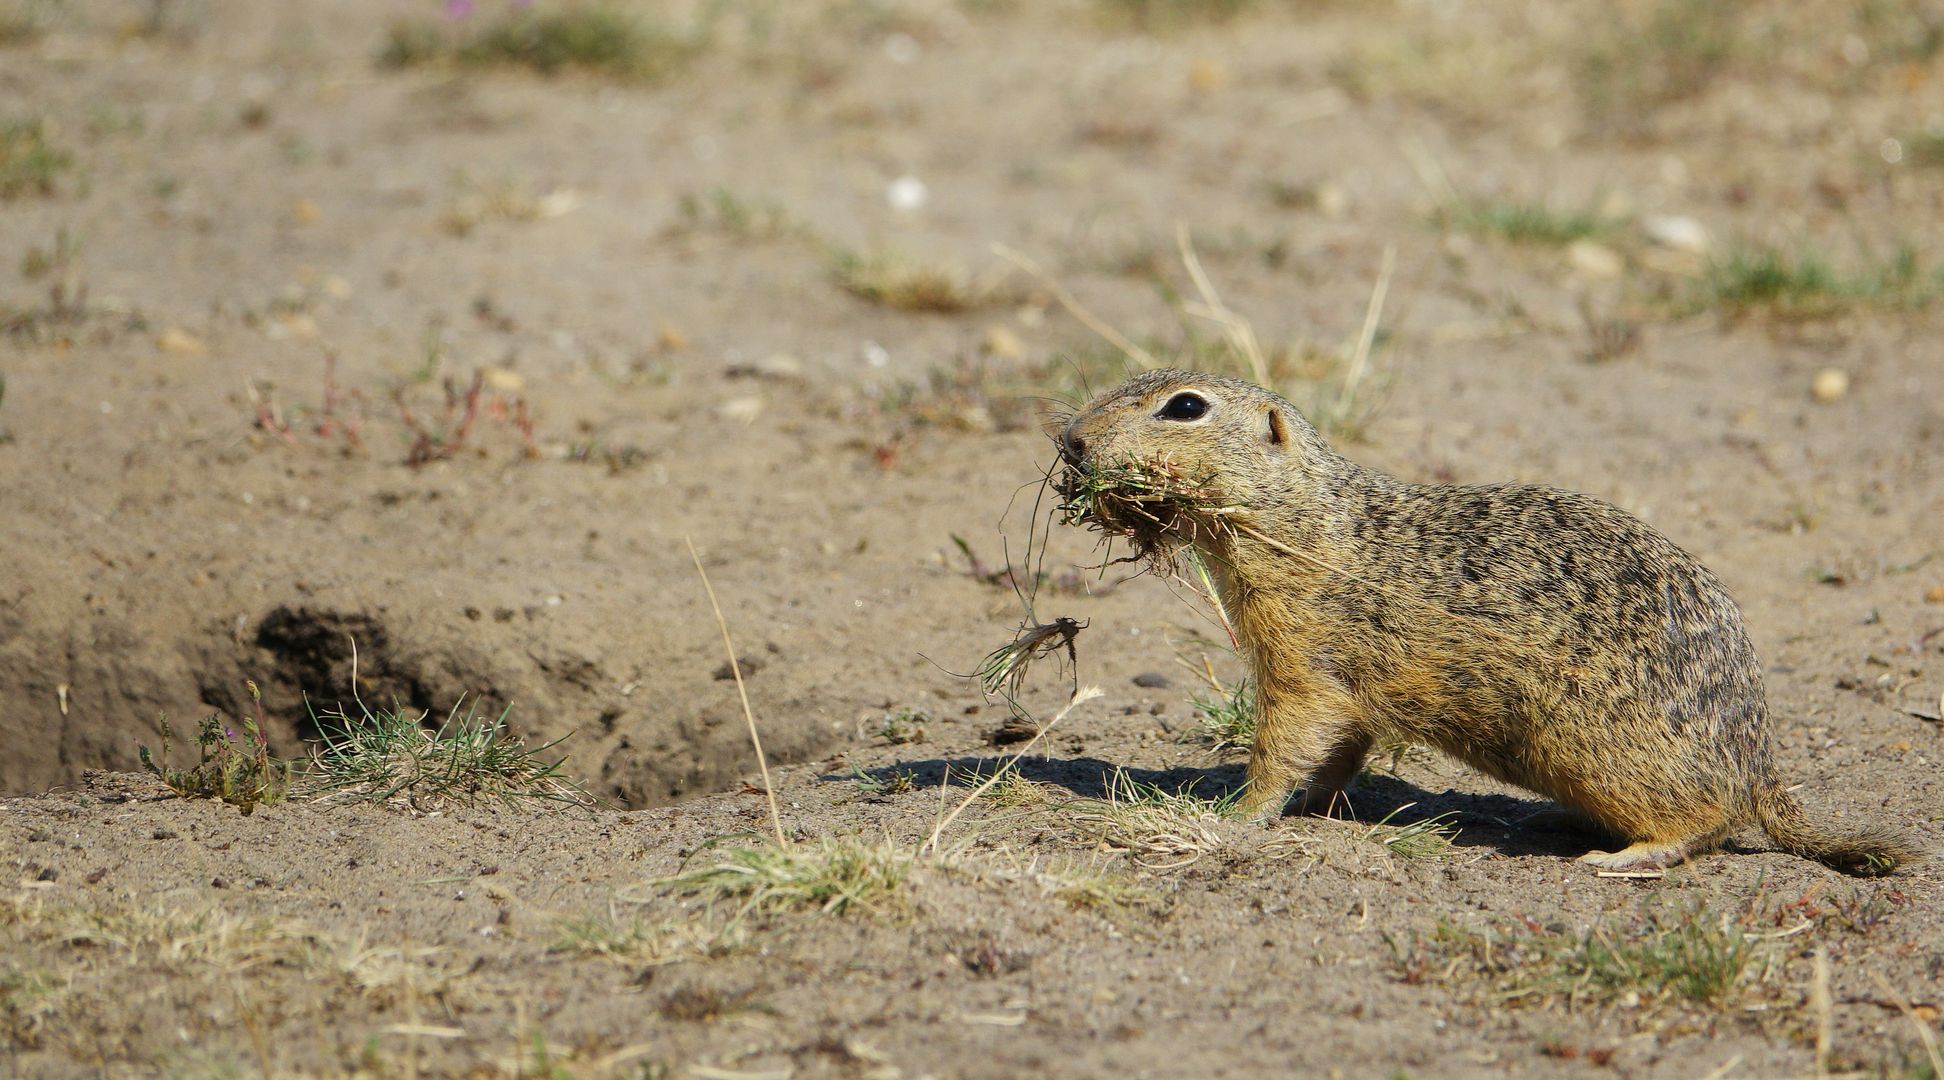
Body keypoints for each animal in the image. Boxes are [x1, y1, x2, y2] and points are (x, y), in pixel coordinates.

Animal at [1065, 371, 1928, 877]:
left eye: (1184, 407)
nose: (1069, 440)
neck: (1309, 523)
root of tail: (1760, 761)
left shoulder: (1302, 661)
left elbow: (1286, 747)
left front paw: (1235, 815)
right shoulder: (1343, 688)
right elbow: (1341, 752)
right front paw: (1313, 805)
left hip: (1605, 754)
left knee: (1708, 822)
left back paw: (1620, 858)